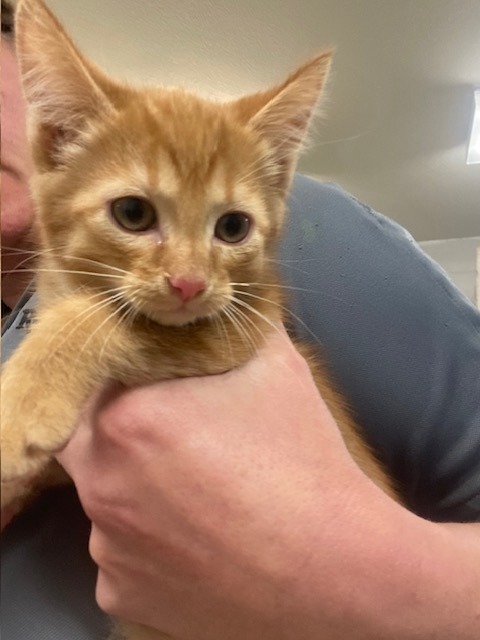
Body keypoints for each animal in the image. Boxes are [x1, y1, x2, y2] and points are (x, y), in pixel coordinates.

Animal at [0, 0, 398, 636]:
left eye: (232, 227)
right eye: (133, 213)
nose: (189, 283)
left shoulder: (235, 336)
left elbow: (111, 318)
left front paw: (26, 400)